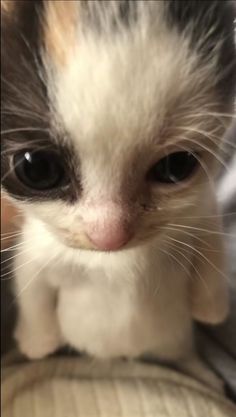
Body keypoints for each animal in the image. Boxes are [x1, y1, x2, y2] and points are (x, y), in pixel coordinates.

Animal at [1, 1, 236, 388]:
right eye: (37, 169)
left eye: (177, 165)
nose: (109, 236)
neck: (116, 260)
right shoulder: (38, 251)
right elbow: (32, 291)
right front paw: (37, 345)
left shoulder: (201, 213)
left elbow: (212, 252)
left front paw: (211, 309)